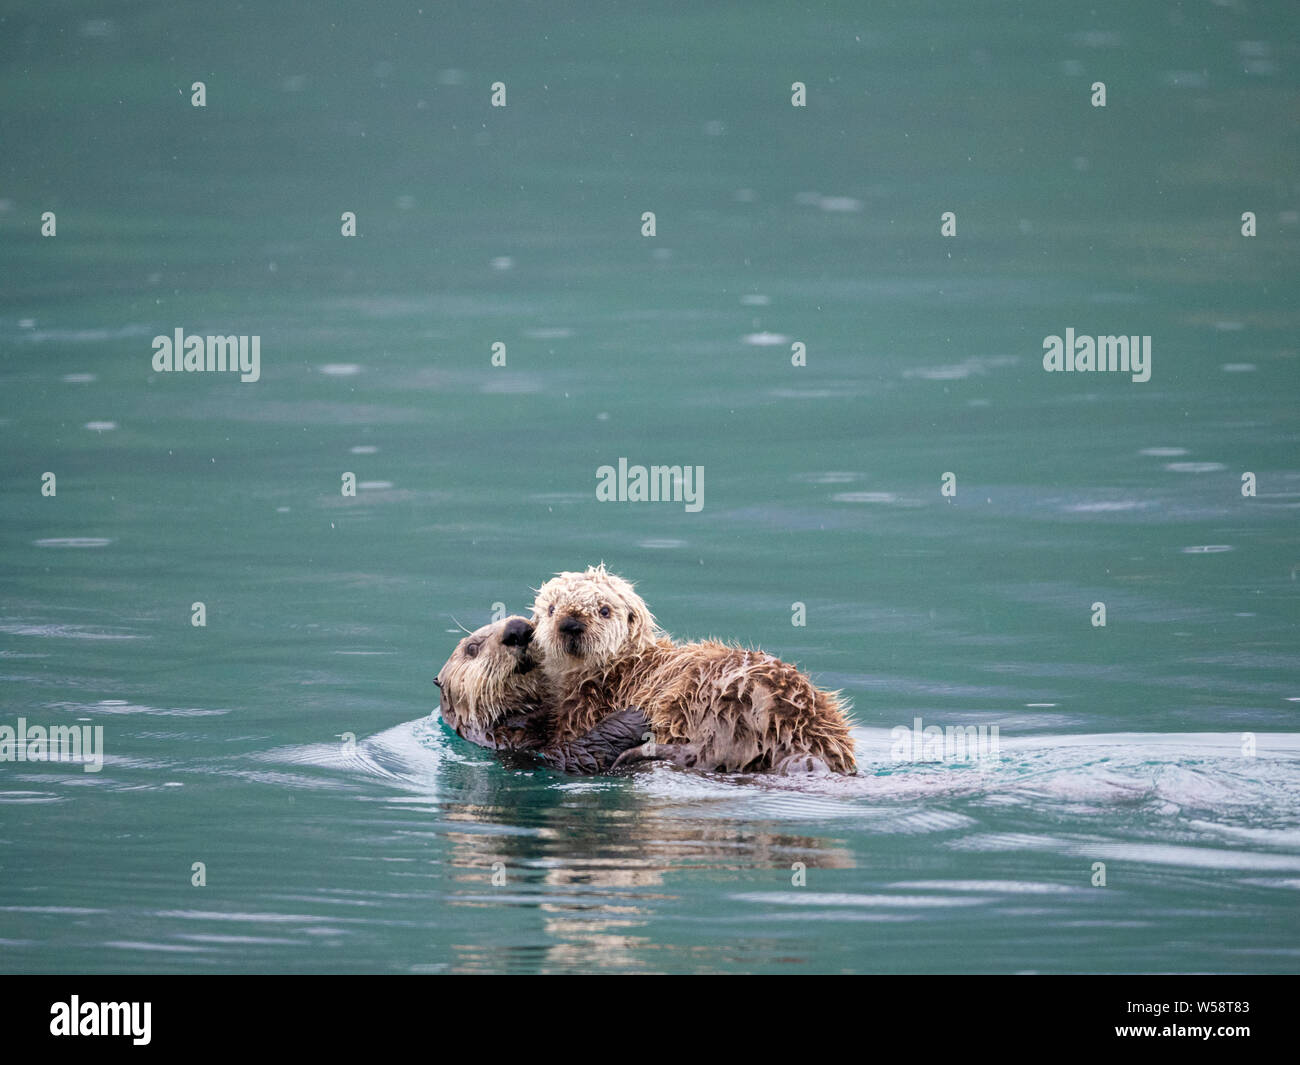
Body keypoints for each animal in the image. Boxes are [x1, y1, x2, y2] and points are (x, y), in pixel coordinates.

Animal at [533, 566, 857, 775]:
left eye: (604, 610)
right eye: (551, 609)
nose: (571, 624)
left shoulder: (584, 709)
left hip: (711, 698)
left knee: (706, 752)